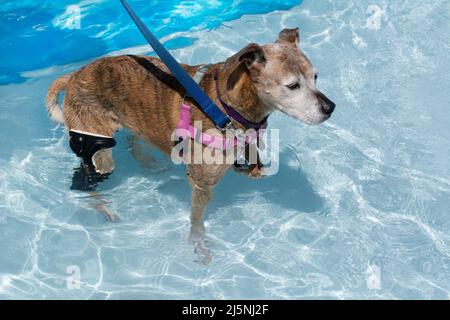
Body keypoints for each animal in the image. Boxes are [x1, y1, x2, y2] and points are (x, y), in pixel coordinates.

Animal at [45, 28, 334, 260]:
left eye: (316, 77)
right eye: (292, 86)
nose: (330, 107)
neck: (227, 107)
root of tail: (72, 76)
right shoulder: (201, 183)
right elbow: (197, 219)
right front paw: (198, 243)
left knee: (133, 138)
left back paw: (149, 163)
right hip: (95, 144)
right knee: (88, 176)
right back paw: (103, 208)